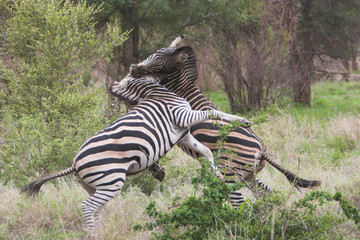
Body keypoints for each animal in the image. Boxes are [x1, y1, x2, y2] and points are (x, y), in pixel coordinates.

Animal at [21, 74, 249, 232]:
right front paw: (241, 120)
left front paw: (218, 175)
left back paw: (101, 233)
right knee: (87, 207)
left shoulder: (183, 134)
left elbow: (207, 152)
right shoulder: (182, 116)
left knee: (96, 209)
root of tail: (74, 163)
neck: (156, 93)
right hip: (111, 180)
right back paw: (93, 234)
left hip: (95, 186)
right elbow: (211, 112)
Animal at [128, 35, 322, 206]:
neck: (179, 86)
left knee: (239, 203)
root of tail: (261, 150)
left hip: (230, 174)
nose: (133, 68)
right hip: (248, 175)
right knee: (269, 196)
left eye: (158, 57)